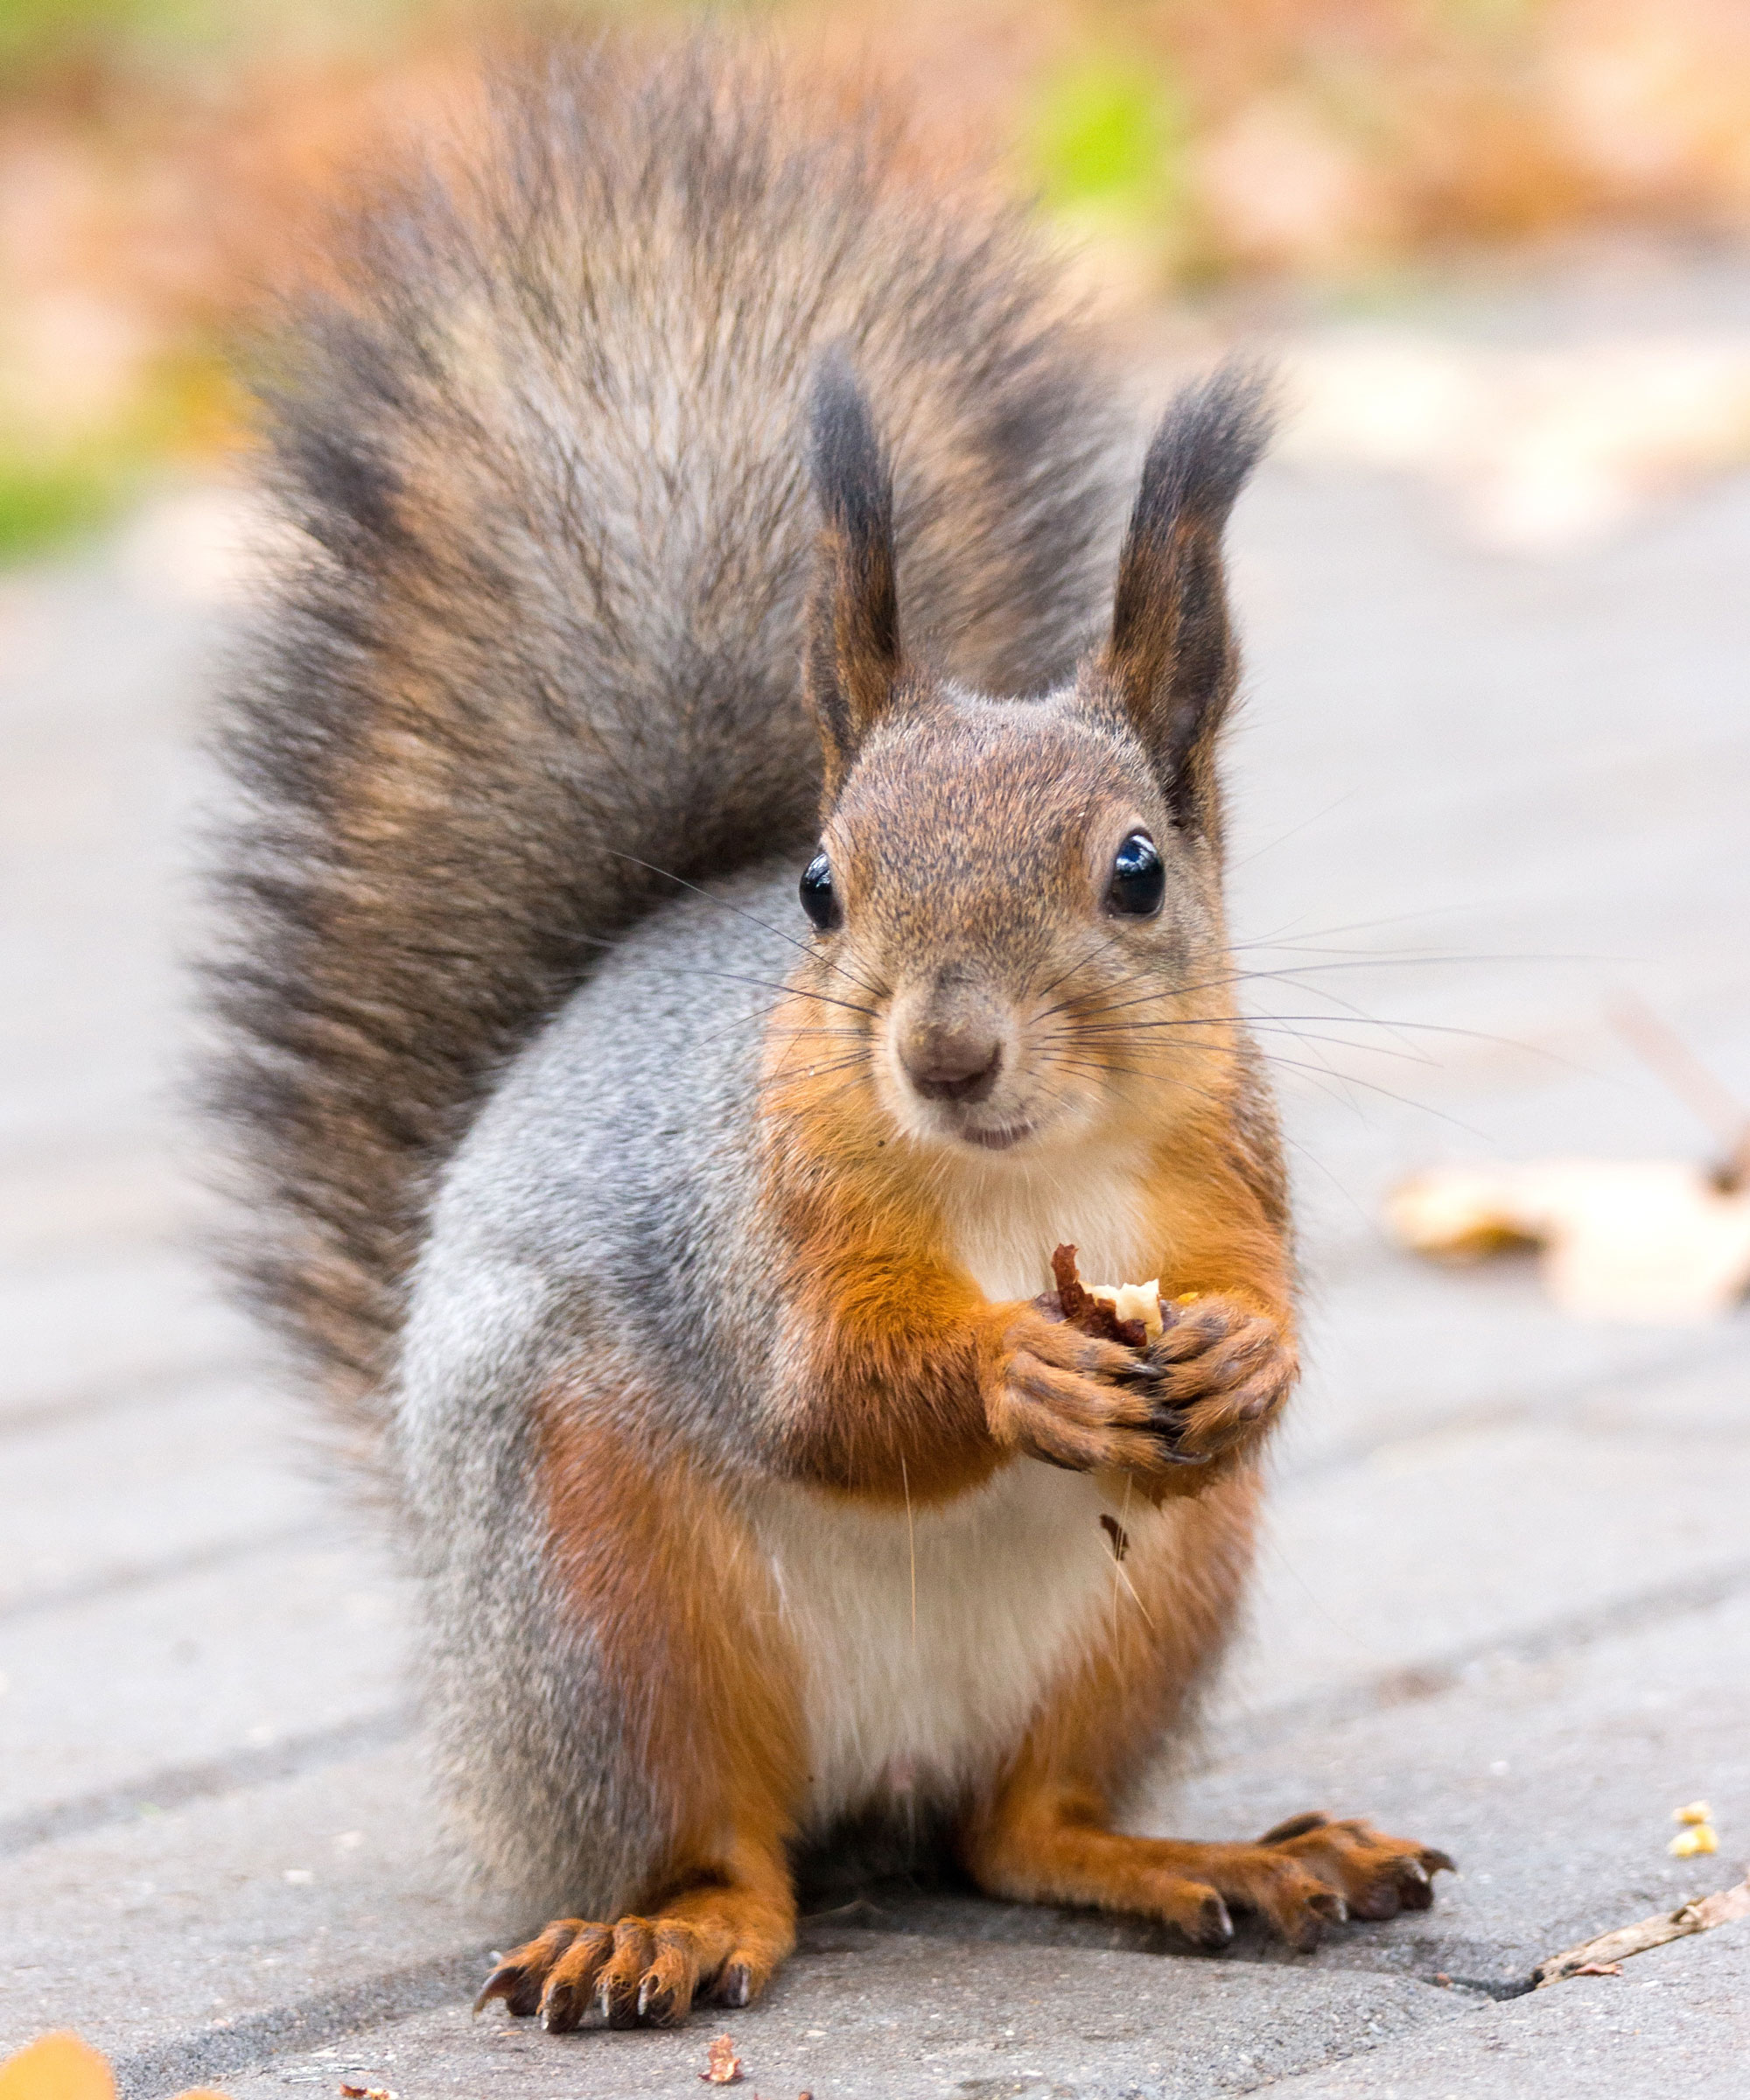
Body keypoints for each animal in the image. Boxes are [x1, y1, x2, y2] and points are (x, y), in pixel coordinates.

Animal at [209, 41, 1452, 2036]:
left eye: (1137, 870)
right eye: (819, 888)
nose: (944, 1056)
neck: (1023, 1195)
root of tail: (876, 1778)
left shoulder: (1222, 1169)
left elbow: (1258, 1327)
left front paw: (1241, 1360)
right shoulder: (756, 1222)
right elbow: (818, 1395)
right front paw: (1012, 1373)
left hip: (1156, 1606)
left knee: (1022, 1829)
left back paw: (1207, 1858)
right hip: (600, 1600)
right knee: (729, 1846)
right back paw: (667, 1927)